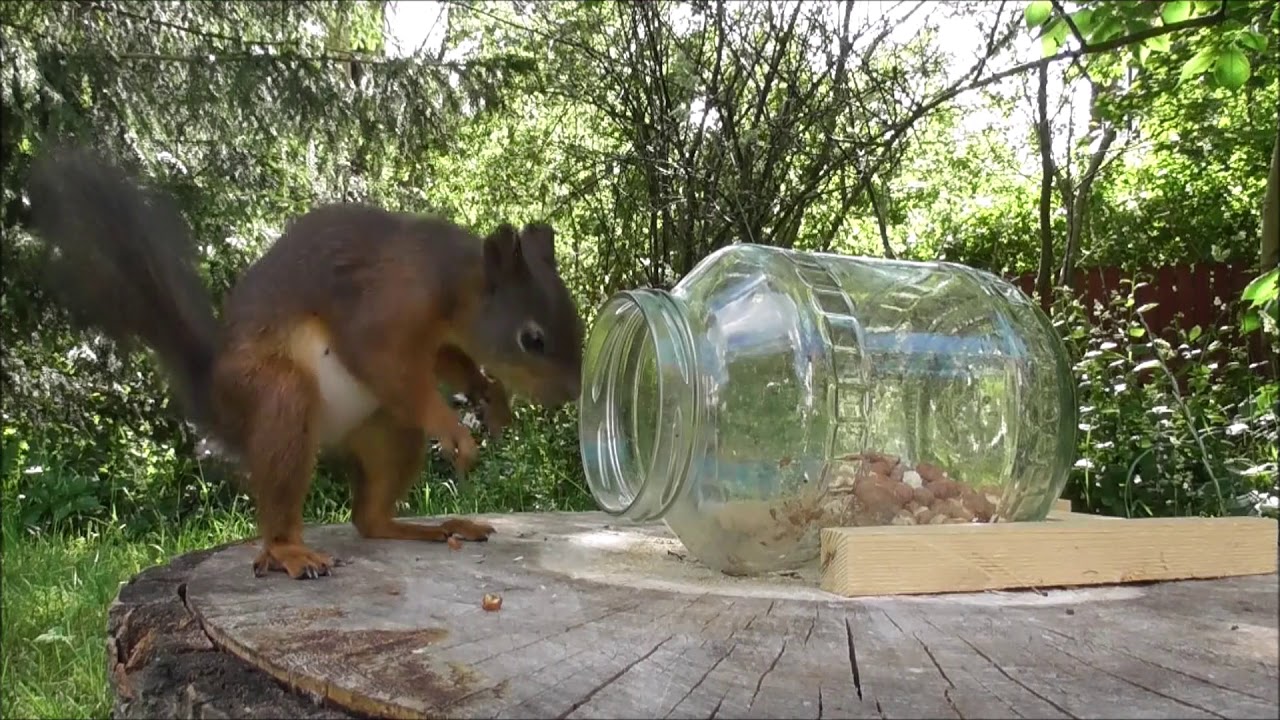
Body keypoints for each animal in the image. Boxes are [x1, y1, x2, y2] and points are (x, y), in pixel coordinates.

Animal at [26, 144, 584, 580]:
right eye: (532, 338)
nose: (572, 392)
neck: (452, 280)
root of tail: (221, 407)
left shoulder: (438, 339)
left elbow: (450, 362)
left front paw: (491, 398)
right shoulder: (385, 307)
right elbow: (384, 361)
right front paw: (454, 430)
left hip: (390, 431)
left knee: (369, 520)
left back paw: (437, 527)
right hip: (278, 397)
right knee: (286, 491)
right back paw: (288, 551)